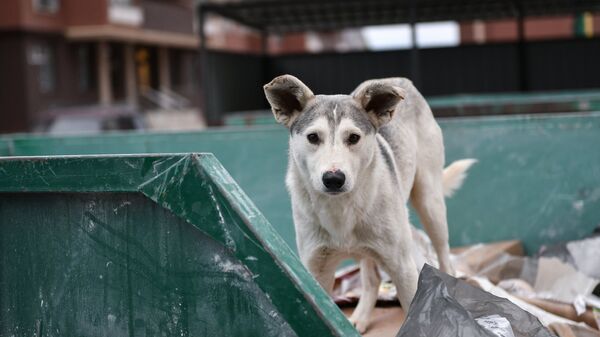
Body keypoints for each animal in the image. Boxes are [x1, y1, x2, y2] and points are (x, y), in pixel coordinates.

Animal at [262, 75, 474, 332]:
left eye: (353, 137)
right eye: (313, 137)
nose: (333, 179)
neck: (341, 208)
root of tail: (399, 79)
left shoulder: (402, 268)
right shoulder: (316, 270)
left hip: (430, 203)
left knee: (443, 255)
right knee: (372, 279)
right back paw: (360, 318)